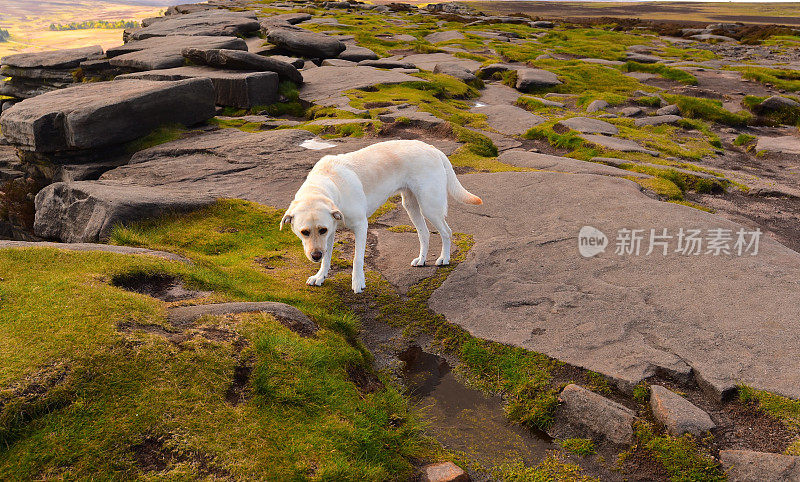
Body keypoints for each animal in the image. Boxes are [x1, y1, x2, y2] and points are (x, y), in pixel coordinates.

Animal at [282, 139, 482, 294]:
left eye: (321, 230)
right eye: (304, 232)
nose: (315, 255)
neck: (328, 183)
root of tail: (432, 148)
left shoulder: (360, 227)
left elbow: (357, 258)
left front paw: (358, 283)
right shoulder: (331, 232)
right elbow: (327, 258)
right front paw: (320, 276)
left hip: (429, 206)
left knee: (447, 232)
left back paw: (444, 259)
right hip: (410, 206)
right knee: (424, 233)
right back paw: (422, 259)